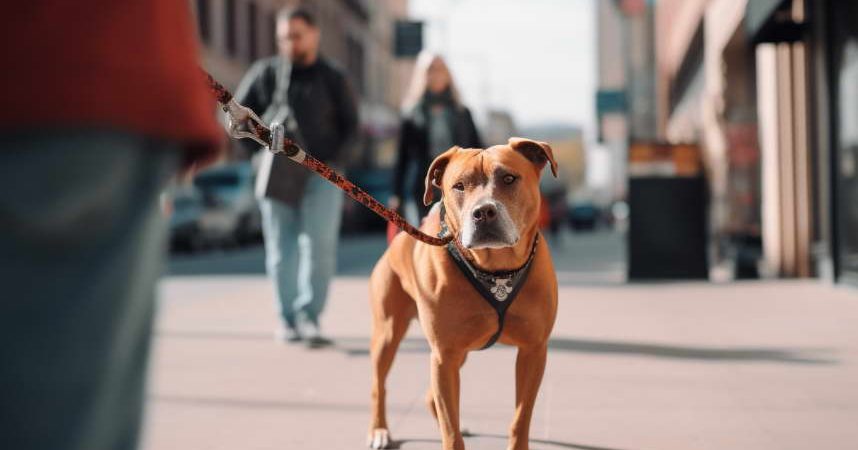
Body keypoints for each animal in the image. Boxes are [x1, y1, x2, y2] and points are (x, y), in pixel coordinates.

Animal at [364, 137, 560, 450]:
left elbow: (520, 419)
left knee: (431, 397)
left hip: (459, 352)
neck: (495, 269)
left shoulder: (533, 350)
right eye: (458, 186)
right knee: (379, 385)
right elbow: (450, 429)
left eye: (508, 178)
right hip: (388, 333)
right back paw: (379, 430)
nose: (483, 212)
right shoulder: (445, 354)